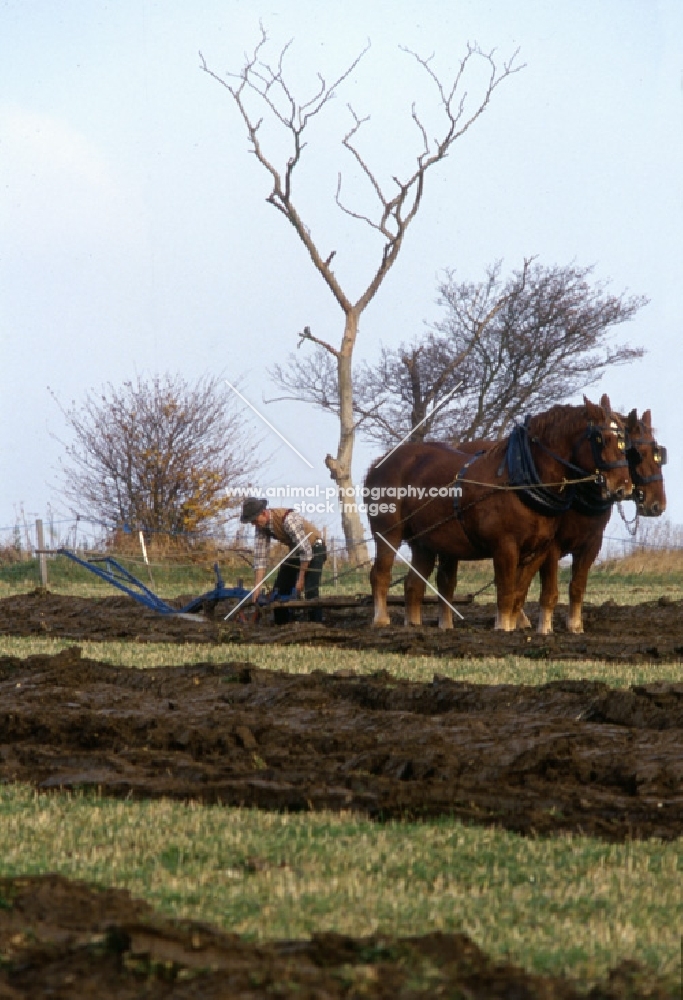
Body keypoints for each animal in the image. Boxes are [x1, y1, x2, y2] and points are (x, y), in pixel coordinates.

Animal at [366, 394, 632, 628]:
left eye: (624, 440)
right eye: (601, 438)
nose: (624, 487)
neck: (522, 481)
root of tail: (379, 463)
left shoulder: (539, 549)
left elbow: (519, 593)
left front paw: (513, 627)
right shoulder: (505, 546)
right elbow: (505, 591)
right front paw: (502, 628)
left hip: (424, 542)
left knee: (414, 584)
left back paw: (414, 625)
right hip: (387, 533)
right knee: (380, 574)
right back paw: (381, 620)